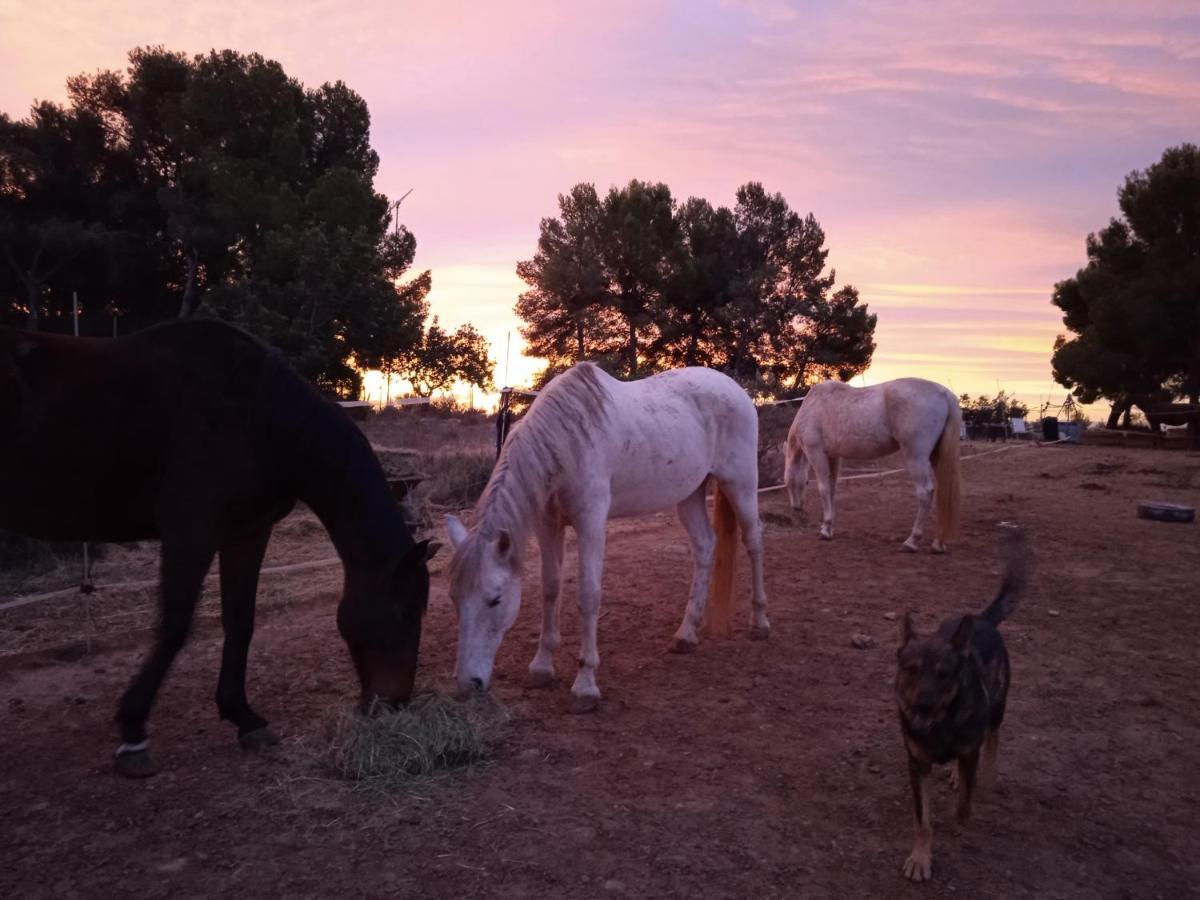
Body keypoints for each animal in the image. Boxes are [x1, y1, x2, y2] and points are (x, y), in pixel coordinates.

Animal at [0, 321, 441, 777]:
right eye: (403, 612)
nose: (395, 702)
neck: (255, 418)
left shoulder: (246, 533)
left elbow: (240, 621)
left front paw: (242, 716)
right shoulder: (191, 532)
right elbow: (175, 626)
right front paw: (133, 732)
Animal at [448, 362, 768, 715]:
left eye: (495, 600)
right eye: (454, 598)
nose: (468, 684)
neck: (566, 440)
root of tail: (736, 390)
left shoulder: (591, 522)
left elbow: (588, 596)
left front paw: (585, 685)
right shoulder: (548, 523)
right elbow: (550, 589)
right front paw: (542, 666)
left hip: (740, 483)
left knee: (754, 540)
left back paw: (760, 622)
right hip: (690, 494)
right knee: (705, 547)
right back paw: (686, 634)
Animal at [782, 376, 960, 554]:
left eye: (791, 483)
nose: (796, 507)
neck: (813, 406)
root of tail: (945, 394)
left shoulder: (816, 453)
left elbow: (824, 489)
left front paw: (825, 530)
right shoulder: (833, 457)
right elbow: (832, 490)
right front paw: (829, 526)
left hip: (916, 457)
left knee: (925, 492)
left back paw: (912, 541)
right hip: (936, 456)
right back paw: (938, 543)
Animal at [897, 532, 1027, 883]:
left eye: (944, 674)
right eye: (911, 669)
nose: (922, 704)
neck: (940, 727)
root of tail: (980, 619)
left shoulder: (968, 750)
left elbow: (965, 802)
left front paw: (959, 820)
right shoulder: (917, 764)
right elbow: (922, 818)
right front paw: (920, 858)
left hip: (997, 706)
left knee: (992, 738)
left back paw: (987, 773)